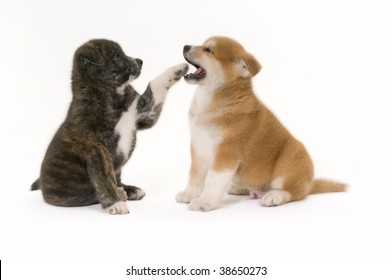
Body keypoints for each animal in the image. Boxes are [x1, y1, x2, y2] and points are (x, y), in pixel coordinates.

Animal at [31, 38, 188, 214]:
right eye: (116, 56)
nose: (140, 61)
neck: (113, 97)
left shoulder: (144, 112)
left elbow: (155, 85)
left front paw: (177, 69)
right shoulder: (96, 149)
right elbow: (104, 180)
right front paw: (115, 203)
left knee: (117, 181)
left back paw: (129, 190)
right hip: (65, 195)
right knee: (92, 193)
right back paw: (120, 193)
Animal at [178, 36, 346, 211]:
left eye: (209, 50)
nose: (185, 46)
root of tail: (310, 184)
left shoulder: (226, 152)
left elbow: (212, 180)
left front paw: (204, 201)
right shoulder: (198, 147)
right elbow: (195, 176)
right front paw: (189, 194)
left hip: (289, 164)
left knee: (293, 192)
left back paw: (273, 197)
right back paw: (239, 188)